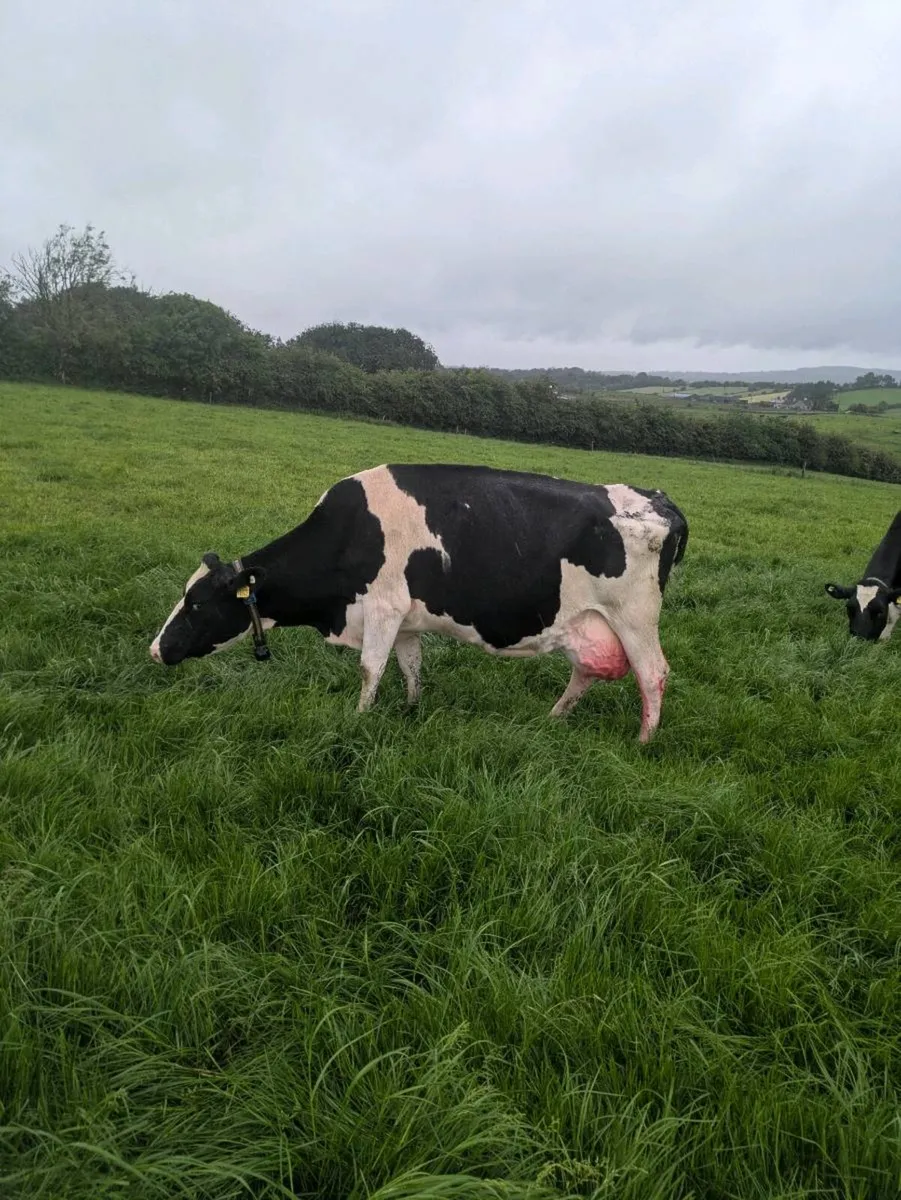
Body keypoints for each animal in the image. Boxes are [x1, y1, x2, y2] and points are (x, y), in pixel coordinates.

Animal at [150, 464, 688, 742]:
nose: (156, 650)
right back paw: (553, 719)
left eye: (196, 604)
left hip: (635, 617)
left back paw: (643, 741)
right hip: (588, 622)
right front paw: (411, 710)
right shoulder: (405, 619)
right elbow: (410, 665)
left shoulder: (382, 609)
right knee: (588, 670)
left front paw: (358, 720)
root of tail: (660, 498)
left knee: (653, 674)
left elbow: (370, 670)